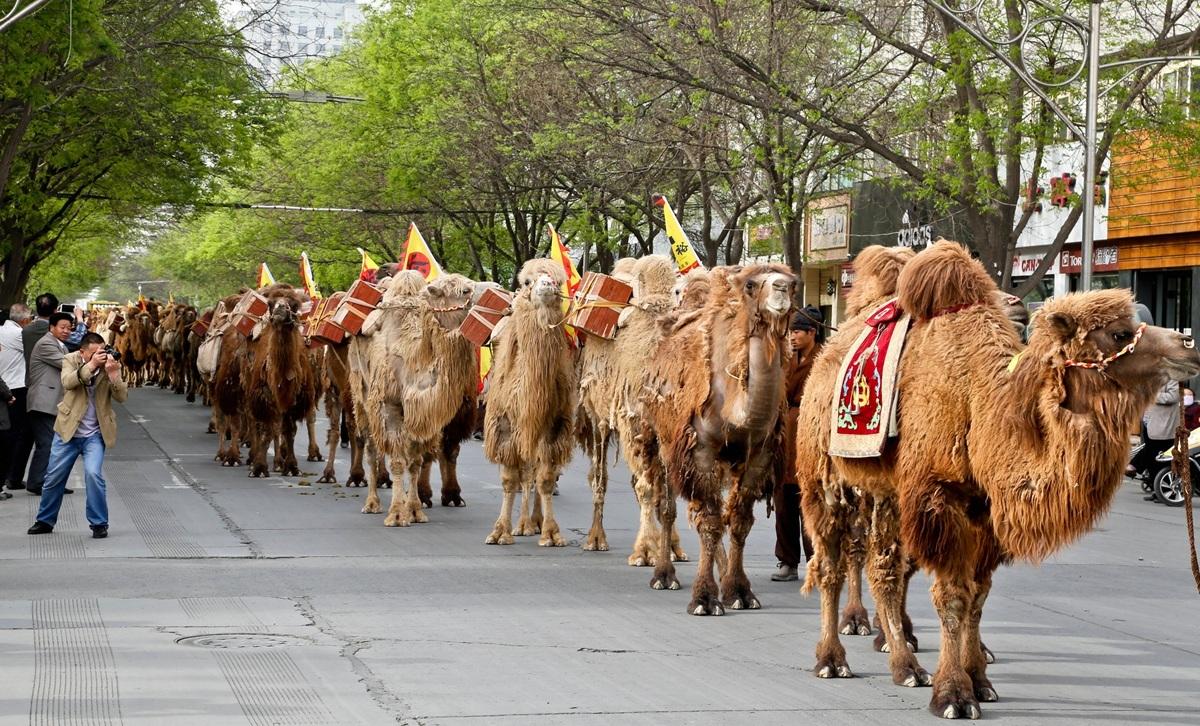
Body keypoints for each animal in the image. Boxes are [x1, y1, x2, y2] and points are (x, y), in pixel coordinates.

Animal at [352, 268, 475, 523]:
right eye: (465, 290)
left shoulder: (421, 412)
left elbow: (416, 461)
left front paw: (415, 510)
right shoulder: (389, 404)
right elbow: (399, 460)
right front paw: (398, 514)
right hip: (363, 399)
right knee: (370, 448)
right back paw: (372, 503)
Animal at [482, 258, 576, 547]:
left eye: (559, 280)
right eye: (526, 281)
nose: (546, 284)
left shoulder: (553, 429)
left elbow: (545, 479)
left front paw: (551, 533)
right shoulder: (504, 428)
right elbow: (509, 479)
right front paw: (499, 532)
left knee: (533, 474)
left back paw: (532, 522)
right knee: (524, 475)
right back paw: (522, 524)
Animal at [638, 262, 796, 614]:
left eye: (794, 283)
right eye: (751, 284)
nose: (780, 288)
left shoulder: (759, 456)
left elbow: (737, 521)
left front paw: (738, 591)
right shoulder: (700, 449)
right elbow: (709, 522)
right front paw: (704, 598)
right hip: (661, 438)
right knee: (666, 505)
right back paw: (664, 575)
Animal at [796, 238, 1200, 720]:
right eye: (1120, 333)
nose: (1189, 345)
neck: (980, 409)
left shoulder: (984, 509)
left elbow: (978, 595)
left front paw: (980, 680)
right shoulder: (938, 495)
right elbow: (953, 594)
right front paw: (953, 694)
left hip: (886, 491)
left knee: (884, 567)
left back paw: (906, 666)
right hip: (823, 477)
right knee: (831, 564)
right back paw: (831, 659)